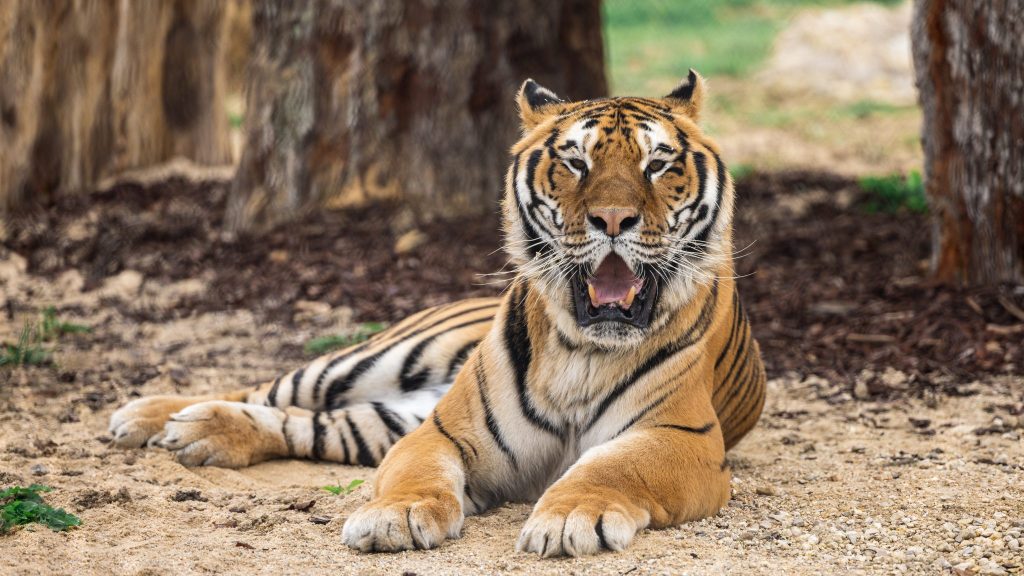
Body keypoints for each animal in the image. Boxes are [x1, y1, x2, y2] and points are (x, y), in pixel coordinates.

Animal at [108, 69, 765, 553]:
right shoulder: (443, 431)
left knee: (308, 423)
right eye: (576, 162)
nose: (612, 219)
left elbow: (610, 469)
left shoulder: (680, 438)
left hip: (383, 416)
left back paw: (196, 431)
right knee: (268, 388)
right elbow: (414, 475)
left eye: (659, 164)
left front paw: (569, 518)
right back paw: (153, 416)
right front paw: (393, 518)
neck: (583, 349)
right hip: (371, 362)